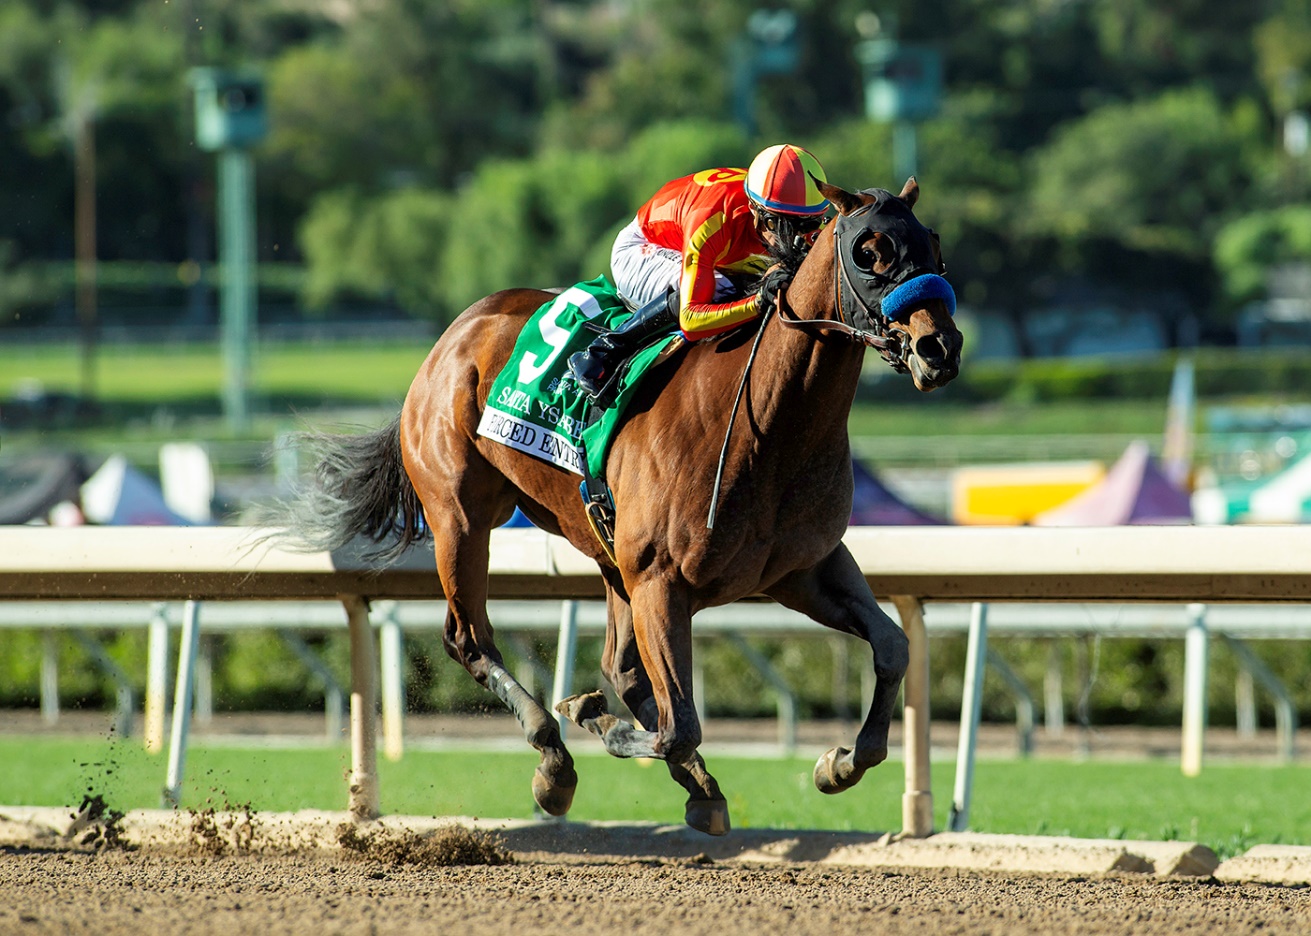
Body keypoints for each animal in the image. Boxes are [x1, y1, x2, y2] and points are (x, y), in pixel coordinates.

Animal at [279, 177, 962, 836]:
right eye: (869, 252)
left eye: (934, 243)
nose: (940, 349)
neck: (769, 423)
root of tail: (453, 334)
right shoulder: (663, 580)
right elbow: (676, 726)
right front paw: (591, 719)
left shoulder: (801, 569)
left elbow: (893, 646)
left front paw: (838, 763)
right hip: (462, 518)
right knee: (469, 638)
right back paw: (555, 759)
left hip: (605, 550)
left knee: (622, 667)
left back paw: (690, 782)